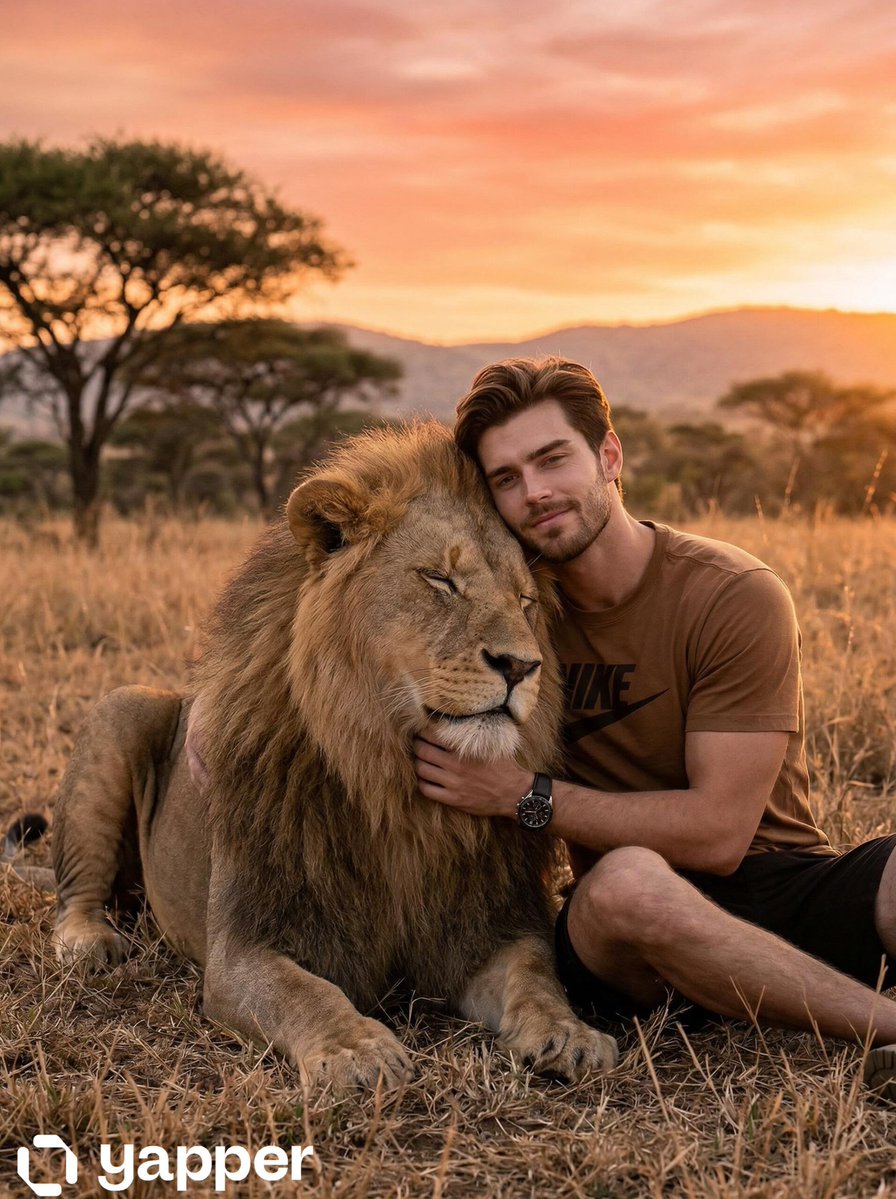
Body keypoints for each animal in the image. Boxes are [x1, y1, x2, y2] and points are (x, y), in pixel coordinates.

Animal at [38, 421, 618, 1090]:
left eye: (525, 601)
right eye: (440, 581)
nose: (522, 666)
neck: (393, 787)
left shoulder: (487, 928)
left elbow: (536, 978)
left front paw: (571, 1034)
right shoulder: (244, 948)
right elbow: (306, 994)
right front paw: (357, 1051)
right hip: (122, 708)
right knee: (76, 892)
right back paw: (90, 944)